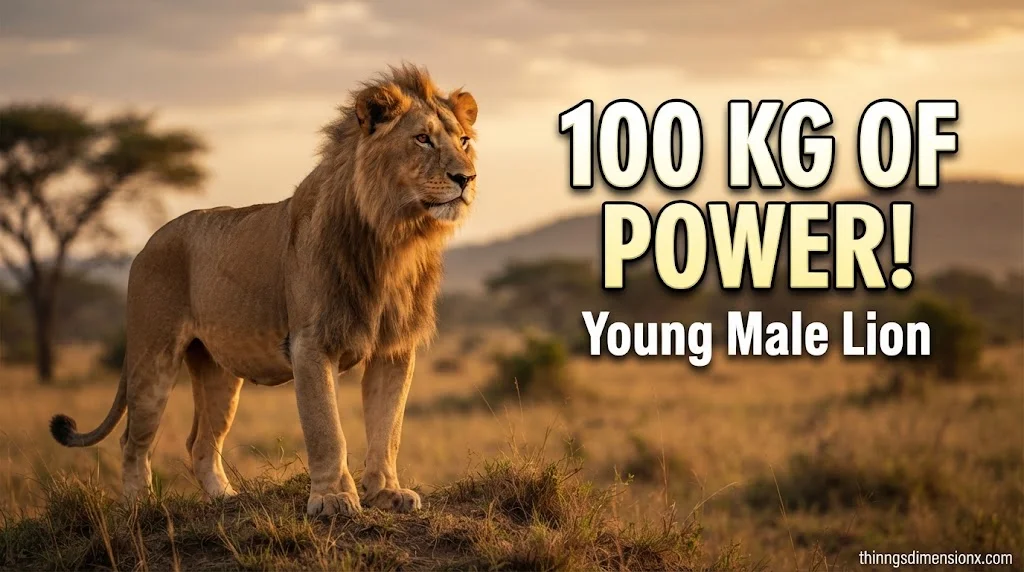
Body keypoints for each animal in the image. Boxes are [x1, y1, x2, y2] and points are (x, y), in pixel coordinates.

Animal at [49, 64, 479, 517]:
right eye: (422, 138)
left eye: (464, 141)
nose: (466, 178)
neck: (395, 238)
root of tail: (147, 244)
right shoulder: (310, 343)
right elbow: (327, 429)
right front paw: (332, 498)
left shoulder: (394, 348)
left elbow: (387, 427)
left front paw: (386, 493)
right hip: (153, 355)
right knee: (134, 439)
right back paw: (138, 506)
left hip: (218, 372)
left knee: (200, 443)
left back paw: (227, 500)